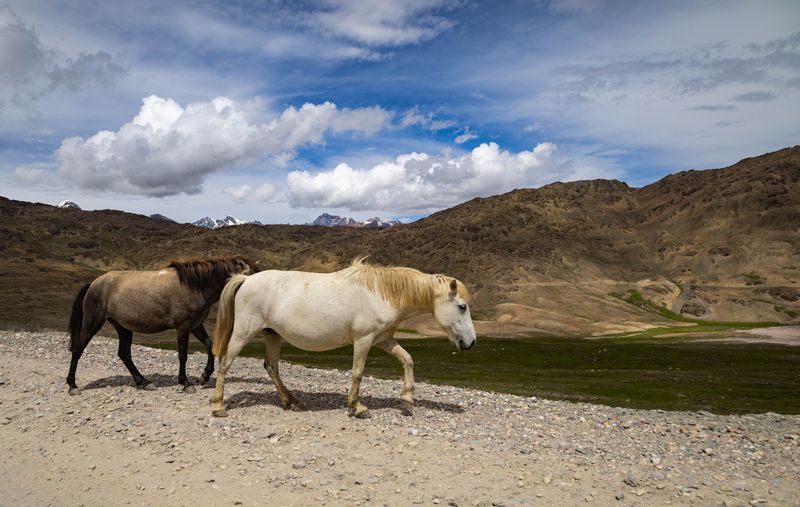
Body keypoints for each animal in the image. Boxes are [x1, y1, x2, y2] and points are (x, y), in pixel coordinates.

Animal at [66, 256, 259, 395]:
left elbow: (210, 345)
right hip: (93, 323)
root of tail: (93, 284)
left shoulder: (195, 325)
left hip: (123, 327)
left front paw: (204, 376)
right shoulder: (183, 327)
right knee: (78, 348)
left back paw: (144, 382)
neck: (193, 287)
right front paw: (185, 383)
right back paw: (72, 385)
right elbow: (182, 355)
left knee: (124, 354)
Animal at [209, 258, 476, 418]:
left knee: (271, 367)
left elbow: (408, 360)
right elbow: (357, 372)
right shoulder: (364, 340)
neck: (381, 294)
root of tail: (246, 279)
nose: (471, 343)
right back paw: (219, 405)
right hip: (244, 332)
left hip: (273, 336)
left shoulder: (384, 339)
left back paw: (292, 401)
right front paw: (357, 407)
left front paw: (408, 400)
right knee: (225, 363)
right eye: (462, 307)